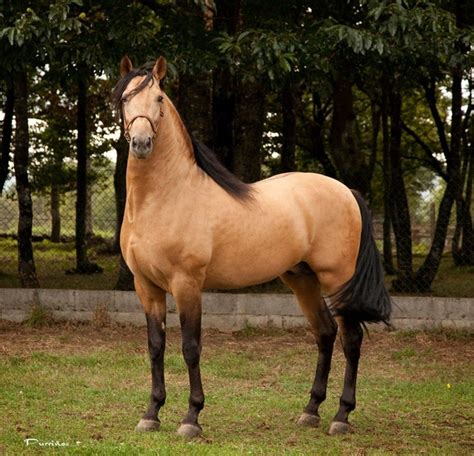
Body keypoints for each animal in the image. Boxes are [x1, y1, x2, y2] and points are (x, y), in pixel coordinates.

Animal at [113, 55, 390, 440]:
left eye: (159, 99)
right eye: (125, 98)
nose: (141, 143)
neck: (166, 196)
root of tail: (346, 191)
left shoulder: (187, 284)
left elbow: (190, 347)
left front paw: (191, 418)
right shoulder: (146, 286)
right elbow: (156, 347)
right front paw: (151, 413)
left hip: (337, 279)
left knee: (351, 339)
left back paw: (341, 416)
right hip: (302, 280)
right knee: (325, 333)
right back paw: (311, 411)